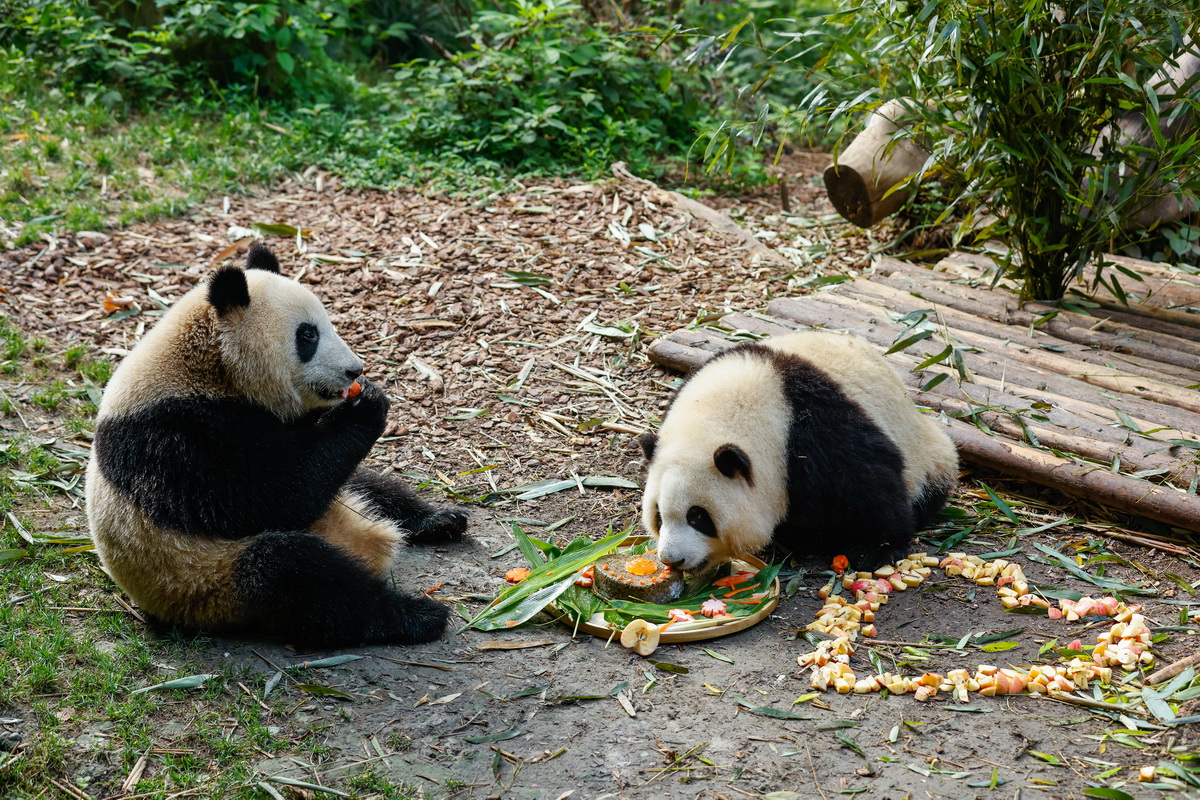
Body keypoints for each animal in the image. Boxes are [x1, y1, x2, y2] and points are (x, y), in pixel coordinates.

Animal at [83, 245, 468, 652]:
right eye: (308, 335)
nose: (354, 371)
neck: (206, 368)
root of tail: (366, 540)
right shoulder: (174, 438)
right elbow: (276, 493)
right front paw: (367, 406)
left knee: (370, 486)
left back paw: (439, 521)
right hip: (207, 580)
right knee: (300, 578)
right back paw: (417, 614)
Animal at [643, 328, 960, 573]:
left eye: (698, 517)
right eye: (658, 514)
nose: (672, 559)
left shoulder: (811, 430)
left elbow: (866, 483)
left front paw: (876, 548)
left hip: (925, 452)